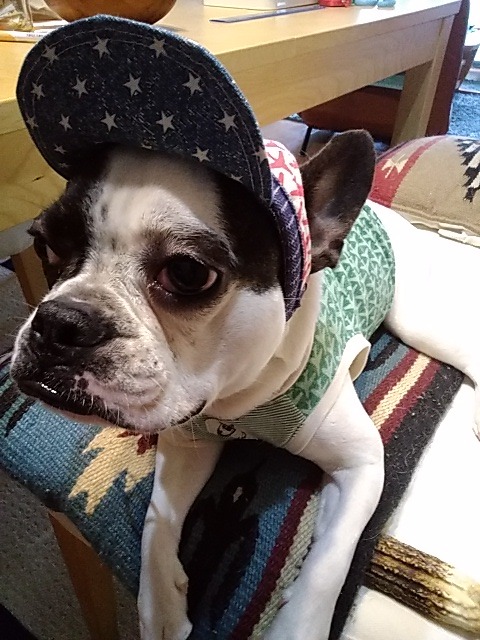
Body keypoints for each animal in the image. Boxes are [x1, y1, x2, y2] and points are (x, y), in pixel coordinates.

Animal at [10, 128, 480, 640]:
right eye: (44, 245)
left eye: (188, 273)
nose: (59, 322)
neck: (239, 404)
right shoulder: (187, 442)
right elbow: (158, 518)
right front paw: (159, 605)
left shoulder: (362, 464)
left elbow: (330, 559)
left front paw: (298, 627)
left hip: (419, 321)